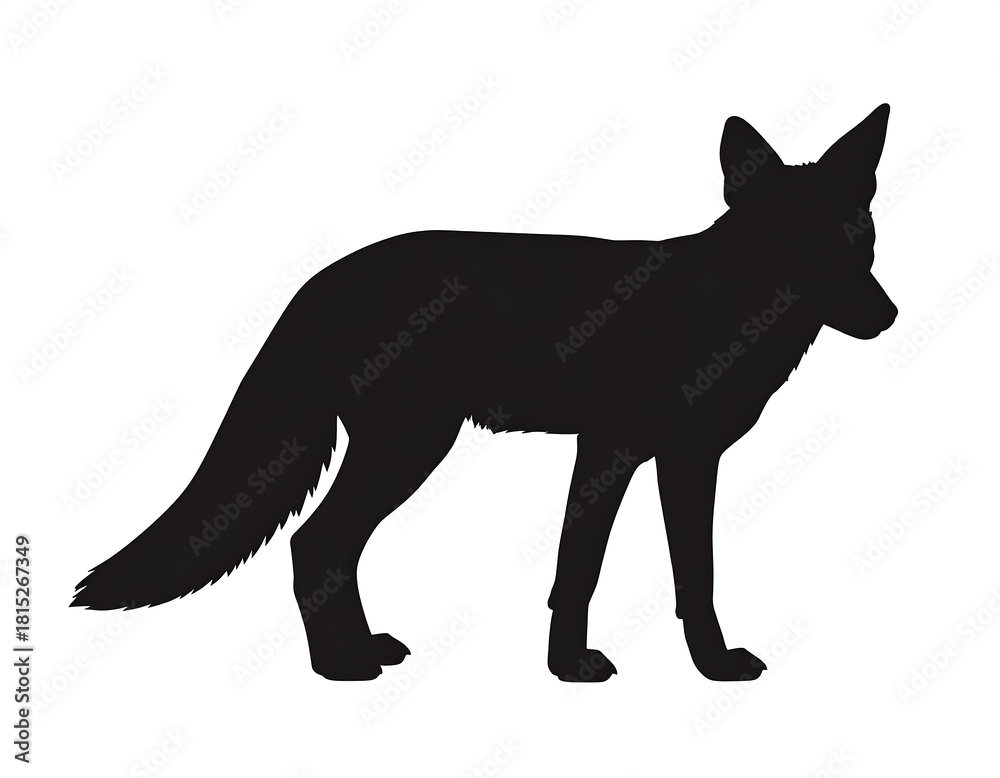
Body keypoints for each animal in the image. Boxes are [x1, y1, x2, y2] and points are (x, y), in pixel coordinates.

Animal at [73, 104, 897, 683]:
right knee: (317, 542)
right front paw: (683, 667)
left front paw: (575, 666)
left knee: (326, 547)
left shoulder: (641, 456)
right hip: (410, 444)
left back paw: (357, 650)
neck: (723, 305)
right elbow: (654, 571)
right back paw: (343, 667)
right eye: (804, 242)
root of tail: (322, 281)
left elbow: (605, 571)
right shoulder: (651, 455)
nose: (888, 317)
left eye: (860, 236)